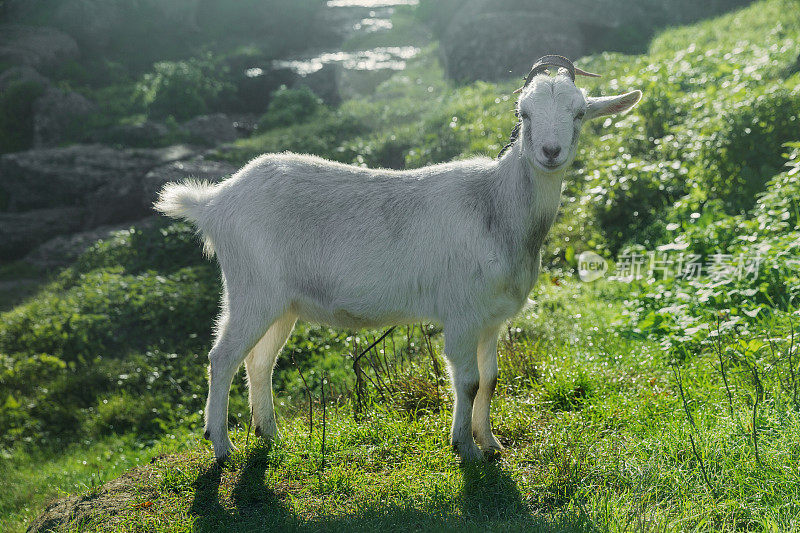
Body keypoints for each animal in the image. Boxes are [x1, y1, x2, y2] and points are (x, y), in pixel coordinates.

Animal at [156, 55, 640, 462]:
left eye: (579, 113)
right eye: (524, 113)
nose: (550, 153)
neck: (496, 207)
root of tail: (215, 202)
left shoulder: (492, 319)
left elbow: (492, 379)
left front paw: (490, 442)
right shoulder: (462, 313)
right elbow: (468, 381)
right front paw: (464, 447)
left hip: (282, 303)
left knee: (259, 361)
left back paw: (270, 435)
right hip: (252, 289)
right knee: (222, 357)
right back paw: (222, 446)